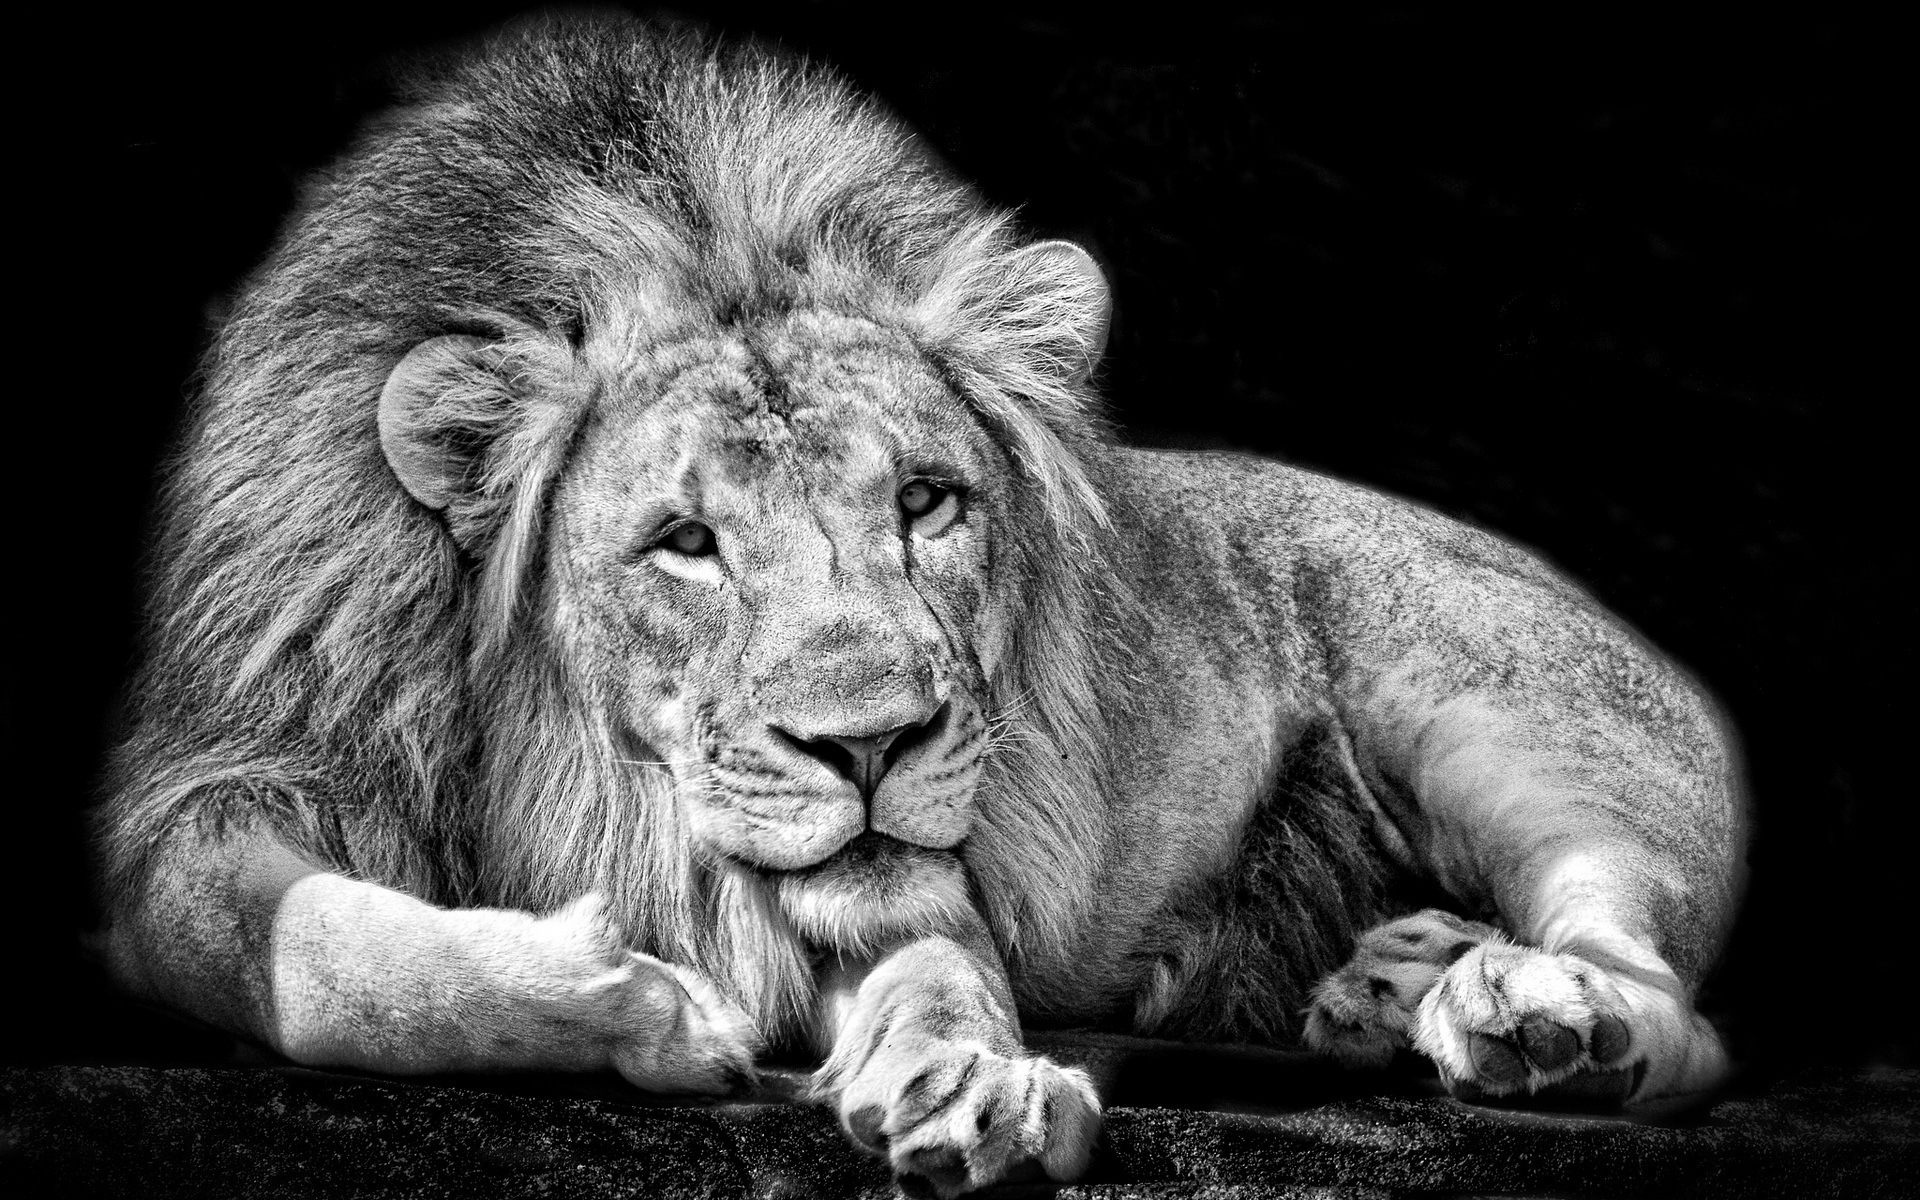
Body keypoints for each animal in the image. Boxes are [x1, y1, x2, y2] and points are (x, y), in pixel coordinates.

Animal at [94, 14, 1745, 1197]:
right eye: (685, 543)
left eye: (928, 503)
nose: (872, 746)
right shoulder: (215, 785)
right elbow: (313, 957)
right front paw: (638, 1002)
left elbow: (941, 958)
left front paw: (971, 1079)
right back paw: (1390, 982)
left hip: (1494, 726)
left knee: (1668, 1004)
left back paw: (1536, 1021)